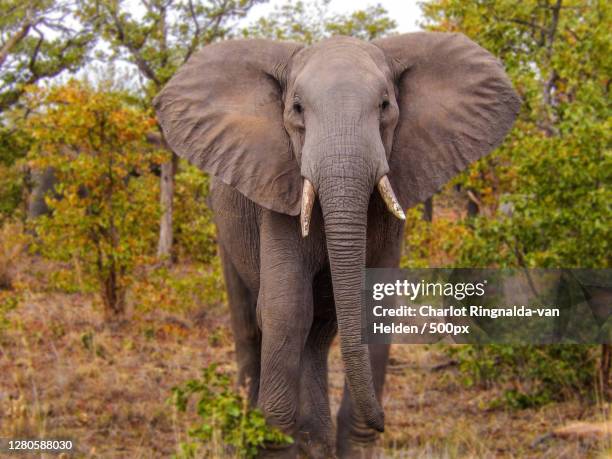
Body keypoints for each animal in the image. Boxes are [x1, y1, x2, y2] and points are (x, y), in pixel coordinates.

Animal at [154, 33, 520, 459]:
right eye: (297, 109)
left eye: (385, 106)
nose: (382, 422)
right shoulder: (278, 196)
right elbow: (285, 309)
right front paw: (273, 442)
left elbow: (373, 307)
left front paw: (352, 442)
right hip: (224, 224)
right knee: (249, 325)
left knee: (318, 330)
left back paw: (314, 440)